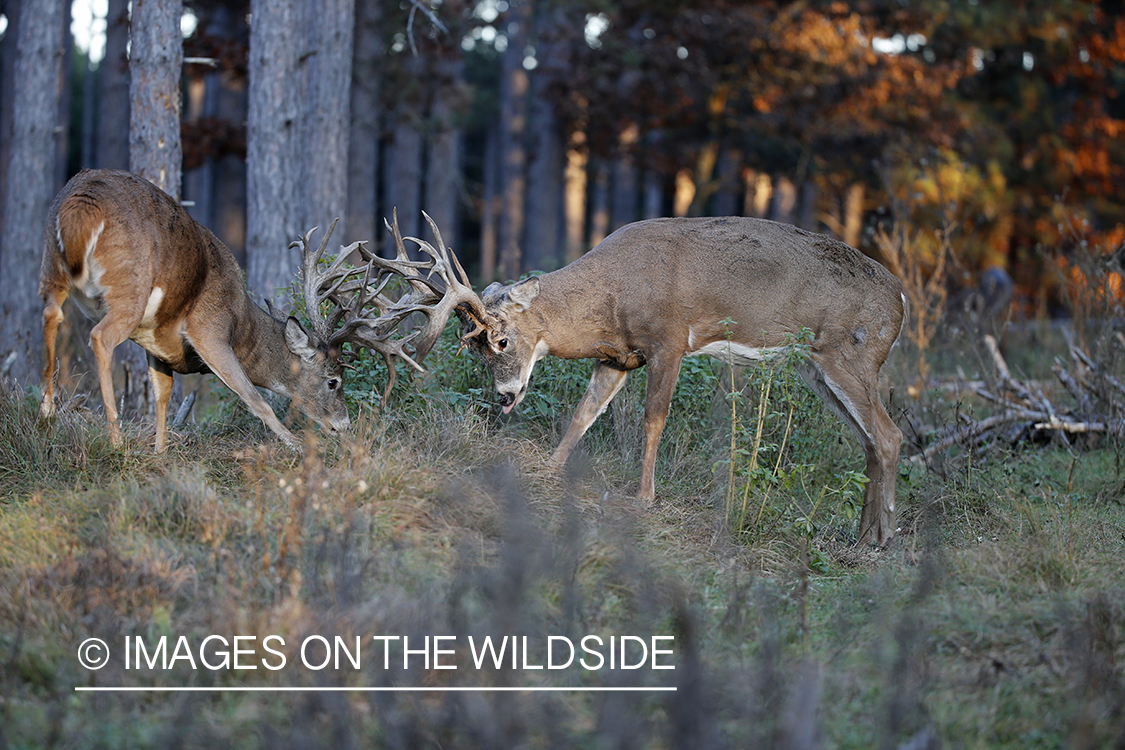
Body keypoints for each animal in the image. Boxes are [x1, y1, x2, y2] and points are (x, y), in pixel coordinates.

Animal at [38, 169, 461, 452]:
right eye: (333, 381)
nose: (342, 425)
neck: (244, 326)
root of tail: (80, 207)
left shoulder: (156, 345)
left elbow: (162, 400)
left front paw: (160, 454)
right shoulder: (208, 327)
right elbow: (255, 399)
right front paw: (295, 445)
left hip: (51, 268)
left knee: (51, 316)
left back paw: (47, 410)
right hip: (129, 288)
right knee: (99, 337)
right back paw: (114, 439)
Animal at [438, 217, 904, 546]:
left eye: (501, 340)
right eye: (475, 350)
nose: (505, 396)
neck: (612, 295)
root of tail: (901, 299)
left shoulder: (670, 340)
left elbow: (654, 419)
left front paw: (643, 497)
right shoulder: (619, 357)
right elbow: (585, 412)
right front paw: (549, 468)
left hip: (850, 353)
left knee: (890, 434)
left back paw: (882, 539)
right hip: (817, 366)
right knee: (868, 441)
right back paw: (863, 535)